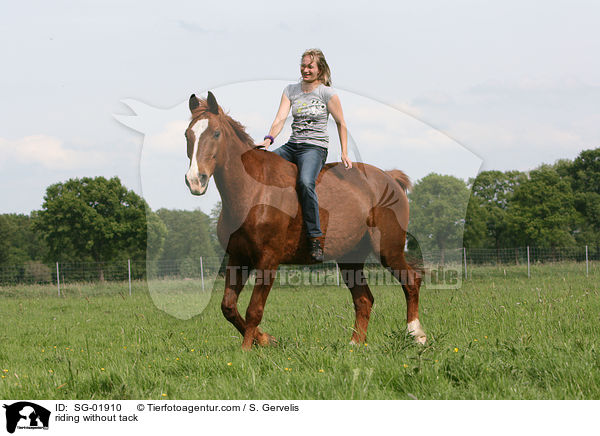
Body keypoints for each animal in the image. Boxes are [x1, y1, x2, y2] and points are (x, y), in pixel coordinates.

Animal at [185, 92, 424, 350]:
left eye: (216, 133)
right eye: (188, 134)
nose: (195, 180)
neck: (254, 191)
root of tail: (390, 178)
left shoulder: (268, 260)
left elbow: (254, 310)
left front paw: (247, 349)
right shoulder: (238, 257)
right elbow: (228, 307)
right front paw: (266, 339)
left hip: (388, 250)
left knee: (411, 281)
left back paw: (416, 335)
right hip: (350, 258)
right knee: (364, 299)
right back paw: (355, 344)